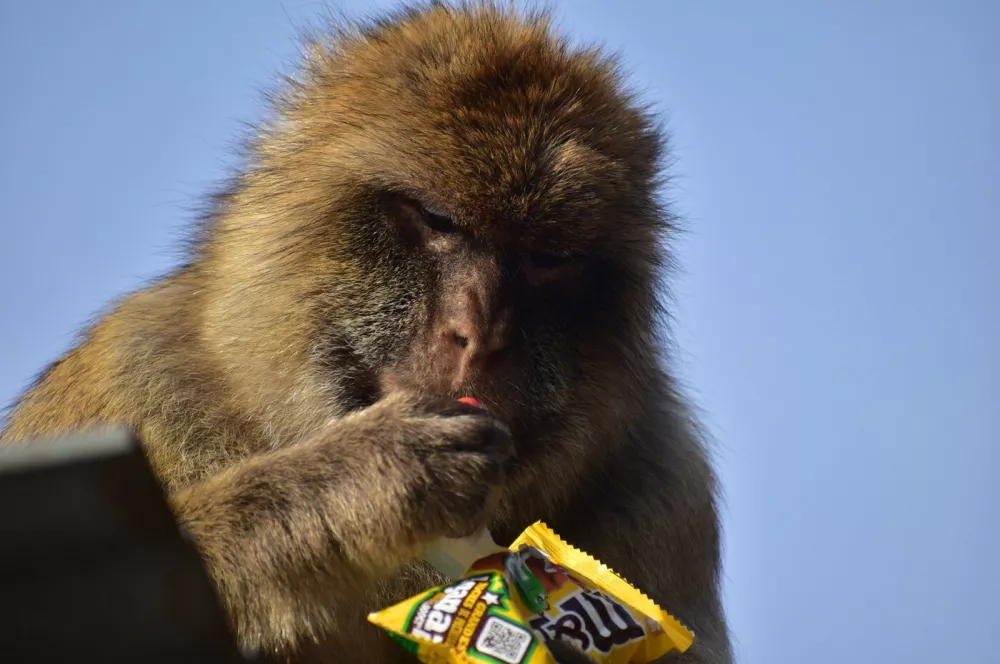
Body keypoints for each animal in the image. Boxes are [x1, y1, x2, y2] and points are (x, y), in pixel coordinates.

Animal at [0, 3, 732, 663]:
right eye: (437, 219)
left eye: (547, 258)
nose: (478, 335)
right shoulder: (135, 376)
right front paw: (357, 477)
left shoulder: (667, 488)